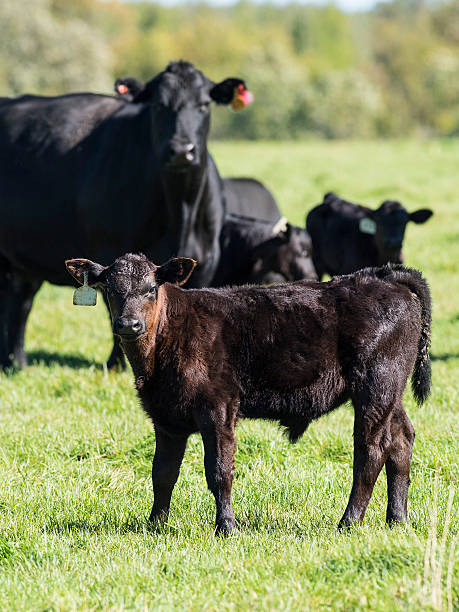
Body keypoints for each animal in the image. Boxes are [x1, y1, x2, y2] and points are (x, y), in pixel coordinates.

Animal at [0, 61, 252, 368]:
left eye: (204, 104)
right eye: (158, 105)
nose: (182, 150)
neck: (181, 211)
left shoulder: (206, 261)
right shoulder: (110, 253)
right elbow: (115, 312)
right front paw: (117, 365)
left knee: (19, 302)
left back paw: (15, 362)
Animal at [66, 253, 434, 536]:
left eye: (150, 289)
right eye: (111, 290)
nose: (129, 325)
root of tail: (385, 275)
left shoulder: (218, 407)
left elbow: (219, 471)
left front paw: (226, 527)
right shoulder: (165, 416)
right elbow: (163, 472)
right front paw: (155, 525)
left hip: (376, 386)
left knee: (371, 451)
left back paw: (348, 522)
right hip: (391, 394)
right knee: (401, 441)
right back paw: (397, 520)